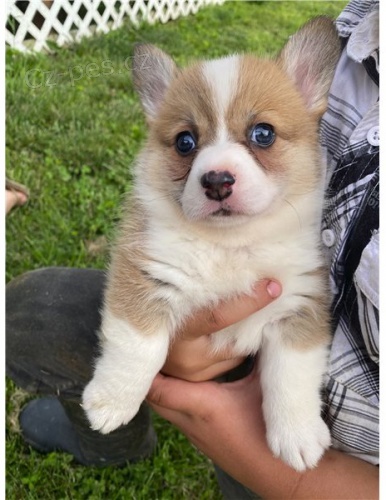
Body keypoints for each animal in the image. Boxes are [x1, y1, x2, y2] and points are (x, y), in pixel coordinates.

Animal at [83, 17, 340, 470]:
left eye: (263, 133)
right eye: (185, 141)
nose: (217, 181)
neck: (229, 245)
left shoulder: (300, 306)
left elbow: (292, 375)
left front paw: (298, 436)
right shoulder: (144, 277)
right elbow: (138, 346)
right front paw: (112, 402)